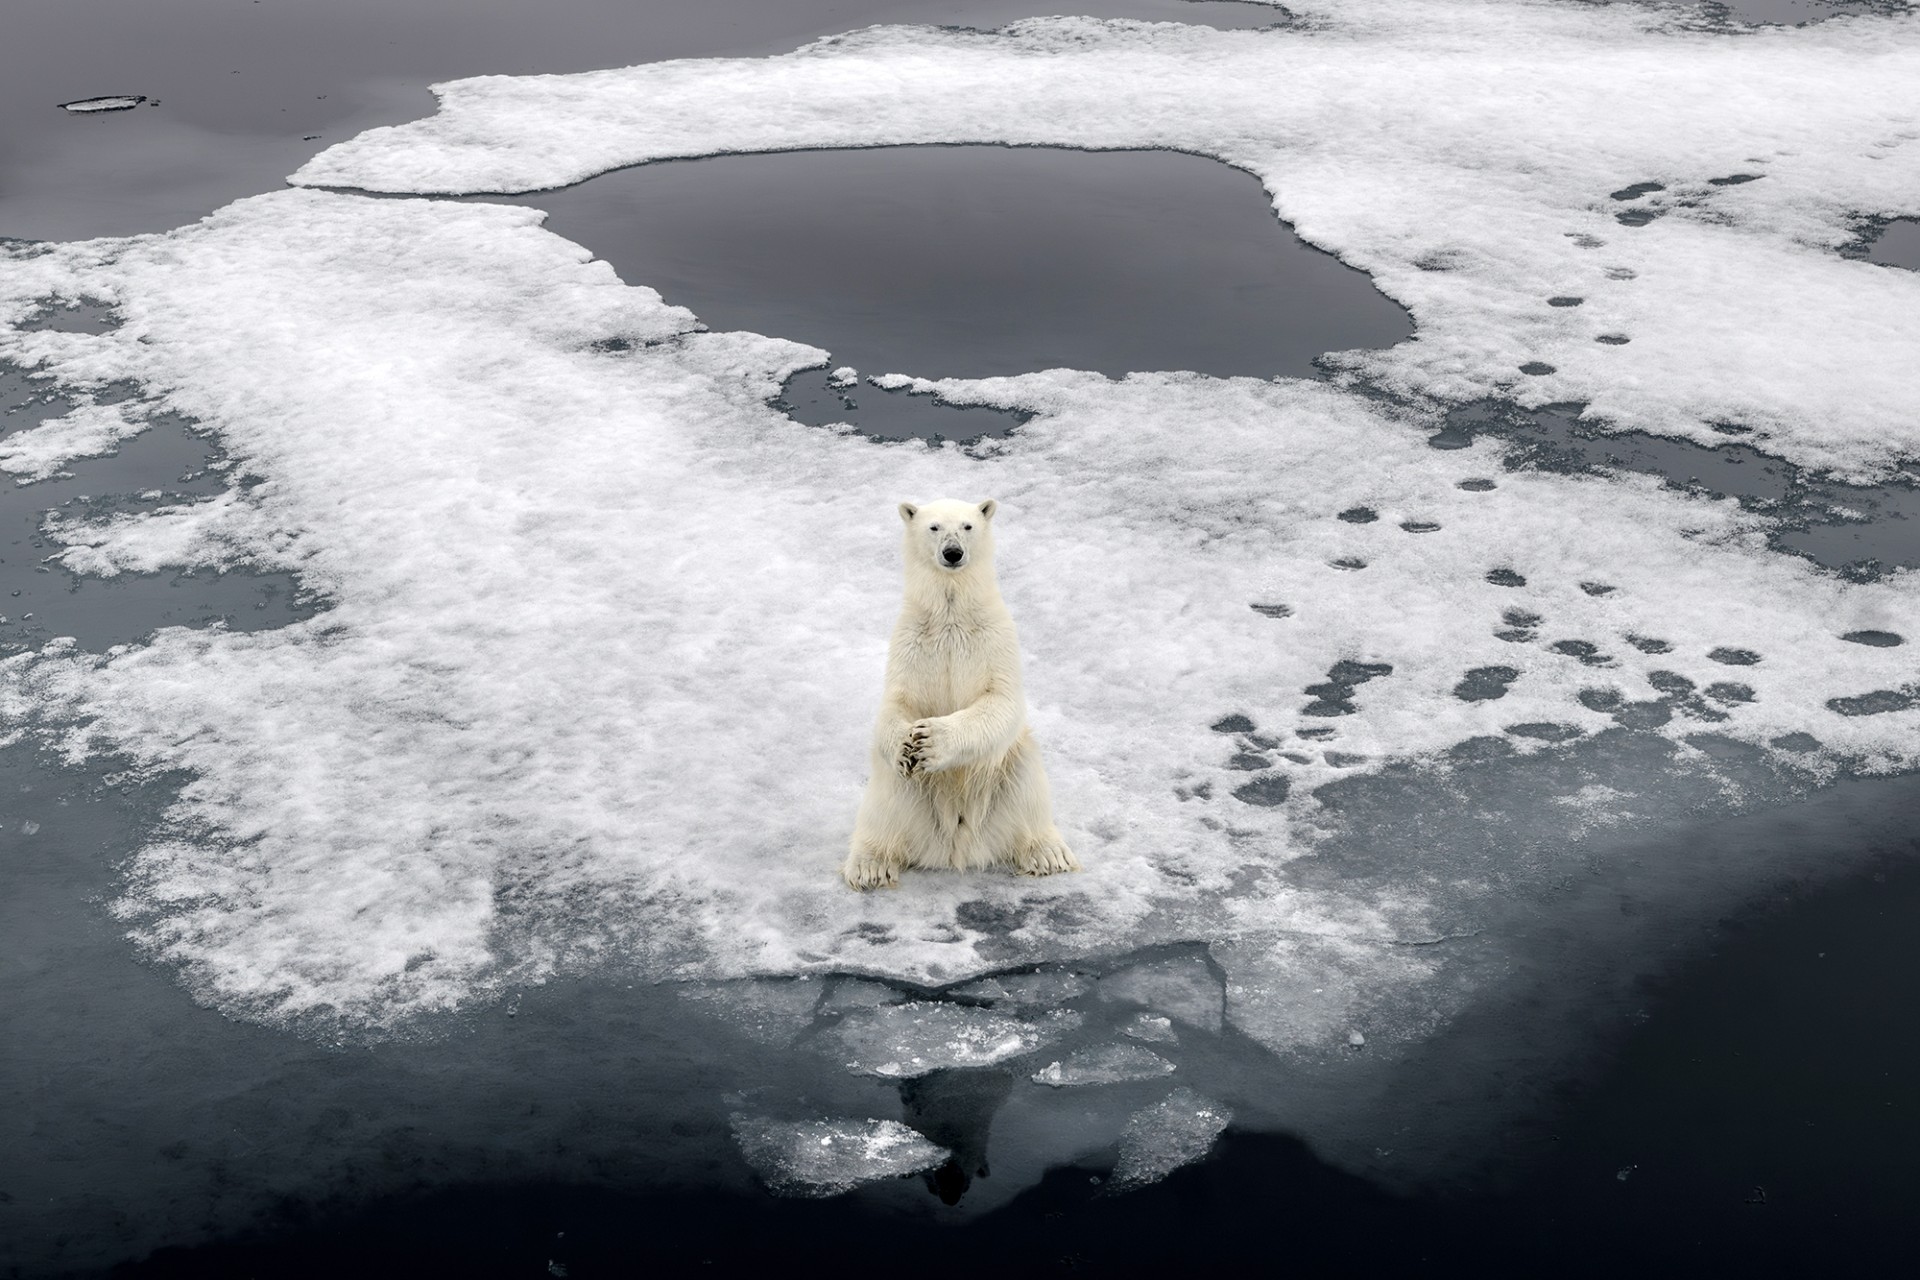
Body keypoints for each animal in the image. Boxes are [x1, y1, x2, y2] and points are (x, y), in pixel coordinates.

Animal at [843, 498, 1080, 890]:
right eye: (934, 527)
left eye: (968, 526)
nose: (952, 553)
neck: (951, 616)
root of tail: (956, 846)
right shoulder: (912, 641)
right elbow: (896, 703)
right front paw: (906, 745)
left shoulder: (995, 636)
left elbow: (1001, 701)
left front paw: (930, 741)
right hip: (906, 796)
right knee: (886, 799)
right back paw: (868, 865)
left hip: (1007, 773)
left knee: (1027, 782)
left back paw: (1049, 853)